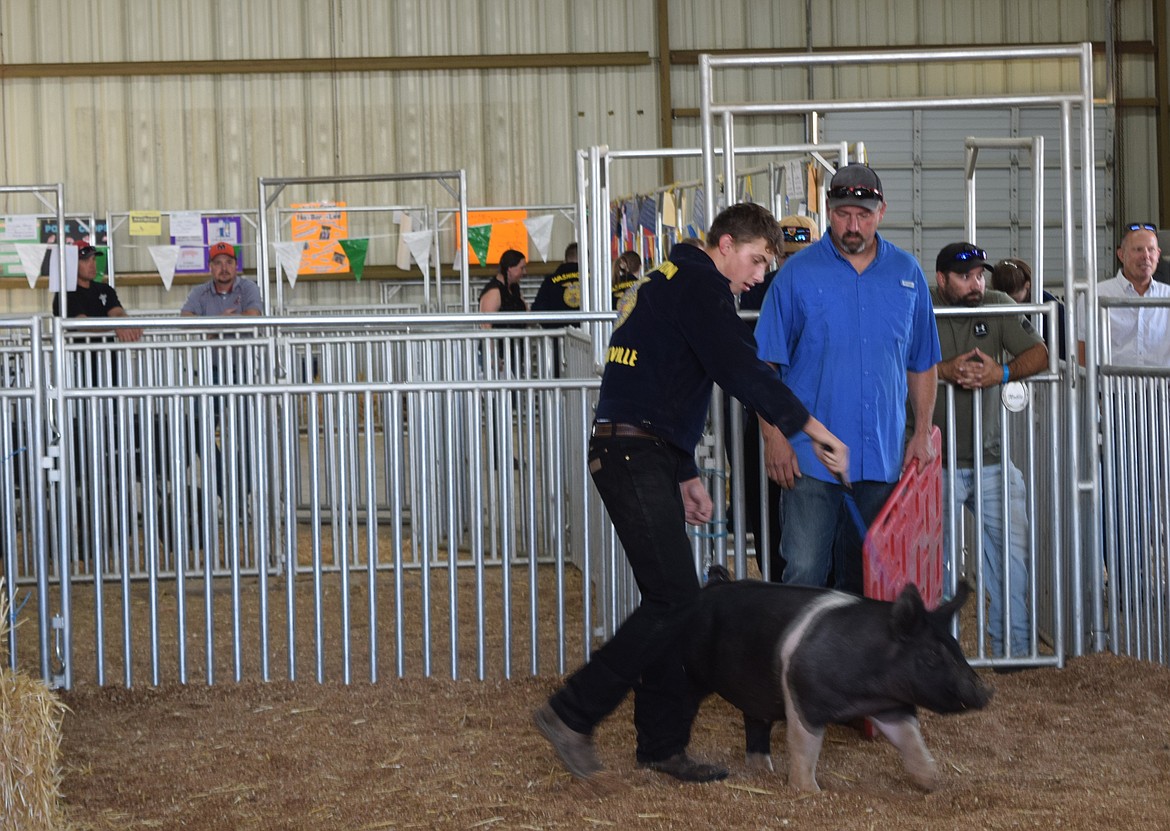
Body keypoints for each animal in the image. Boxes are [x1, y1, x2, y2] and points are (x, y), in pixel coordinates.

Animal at [683, 573, 992, 795]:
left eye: (956, 648)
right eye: (931, 656)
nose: (986, 692)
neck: (863, 693)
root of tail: (711, 584)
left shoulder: (892, 706)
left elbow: (910, 740)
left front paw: (932, 782)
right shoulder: (804, 699)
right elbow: (804, 747)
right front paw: (810, 792)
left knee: (755, 722)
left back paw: (763, 771)